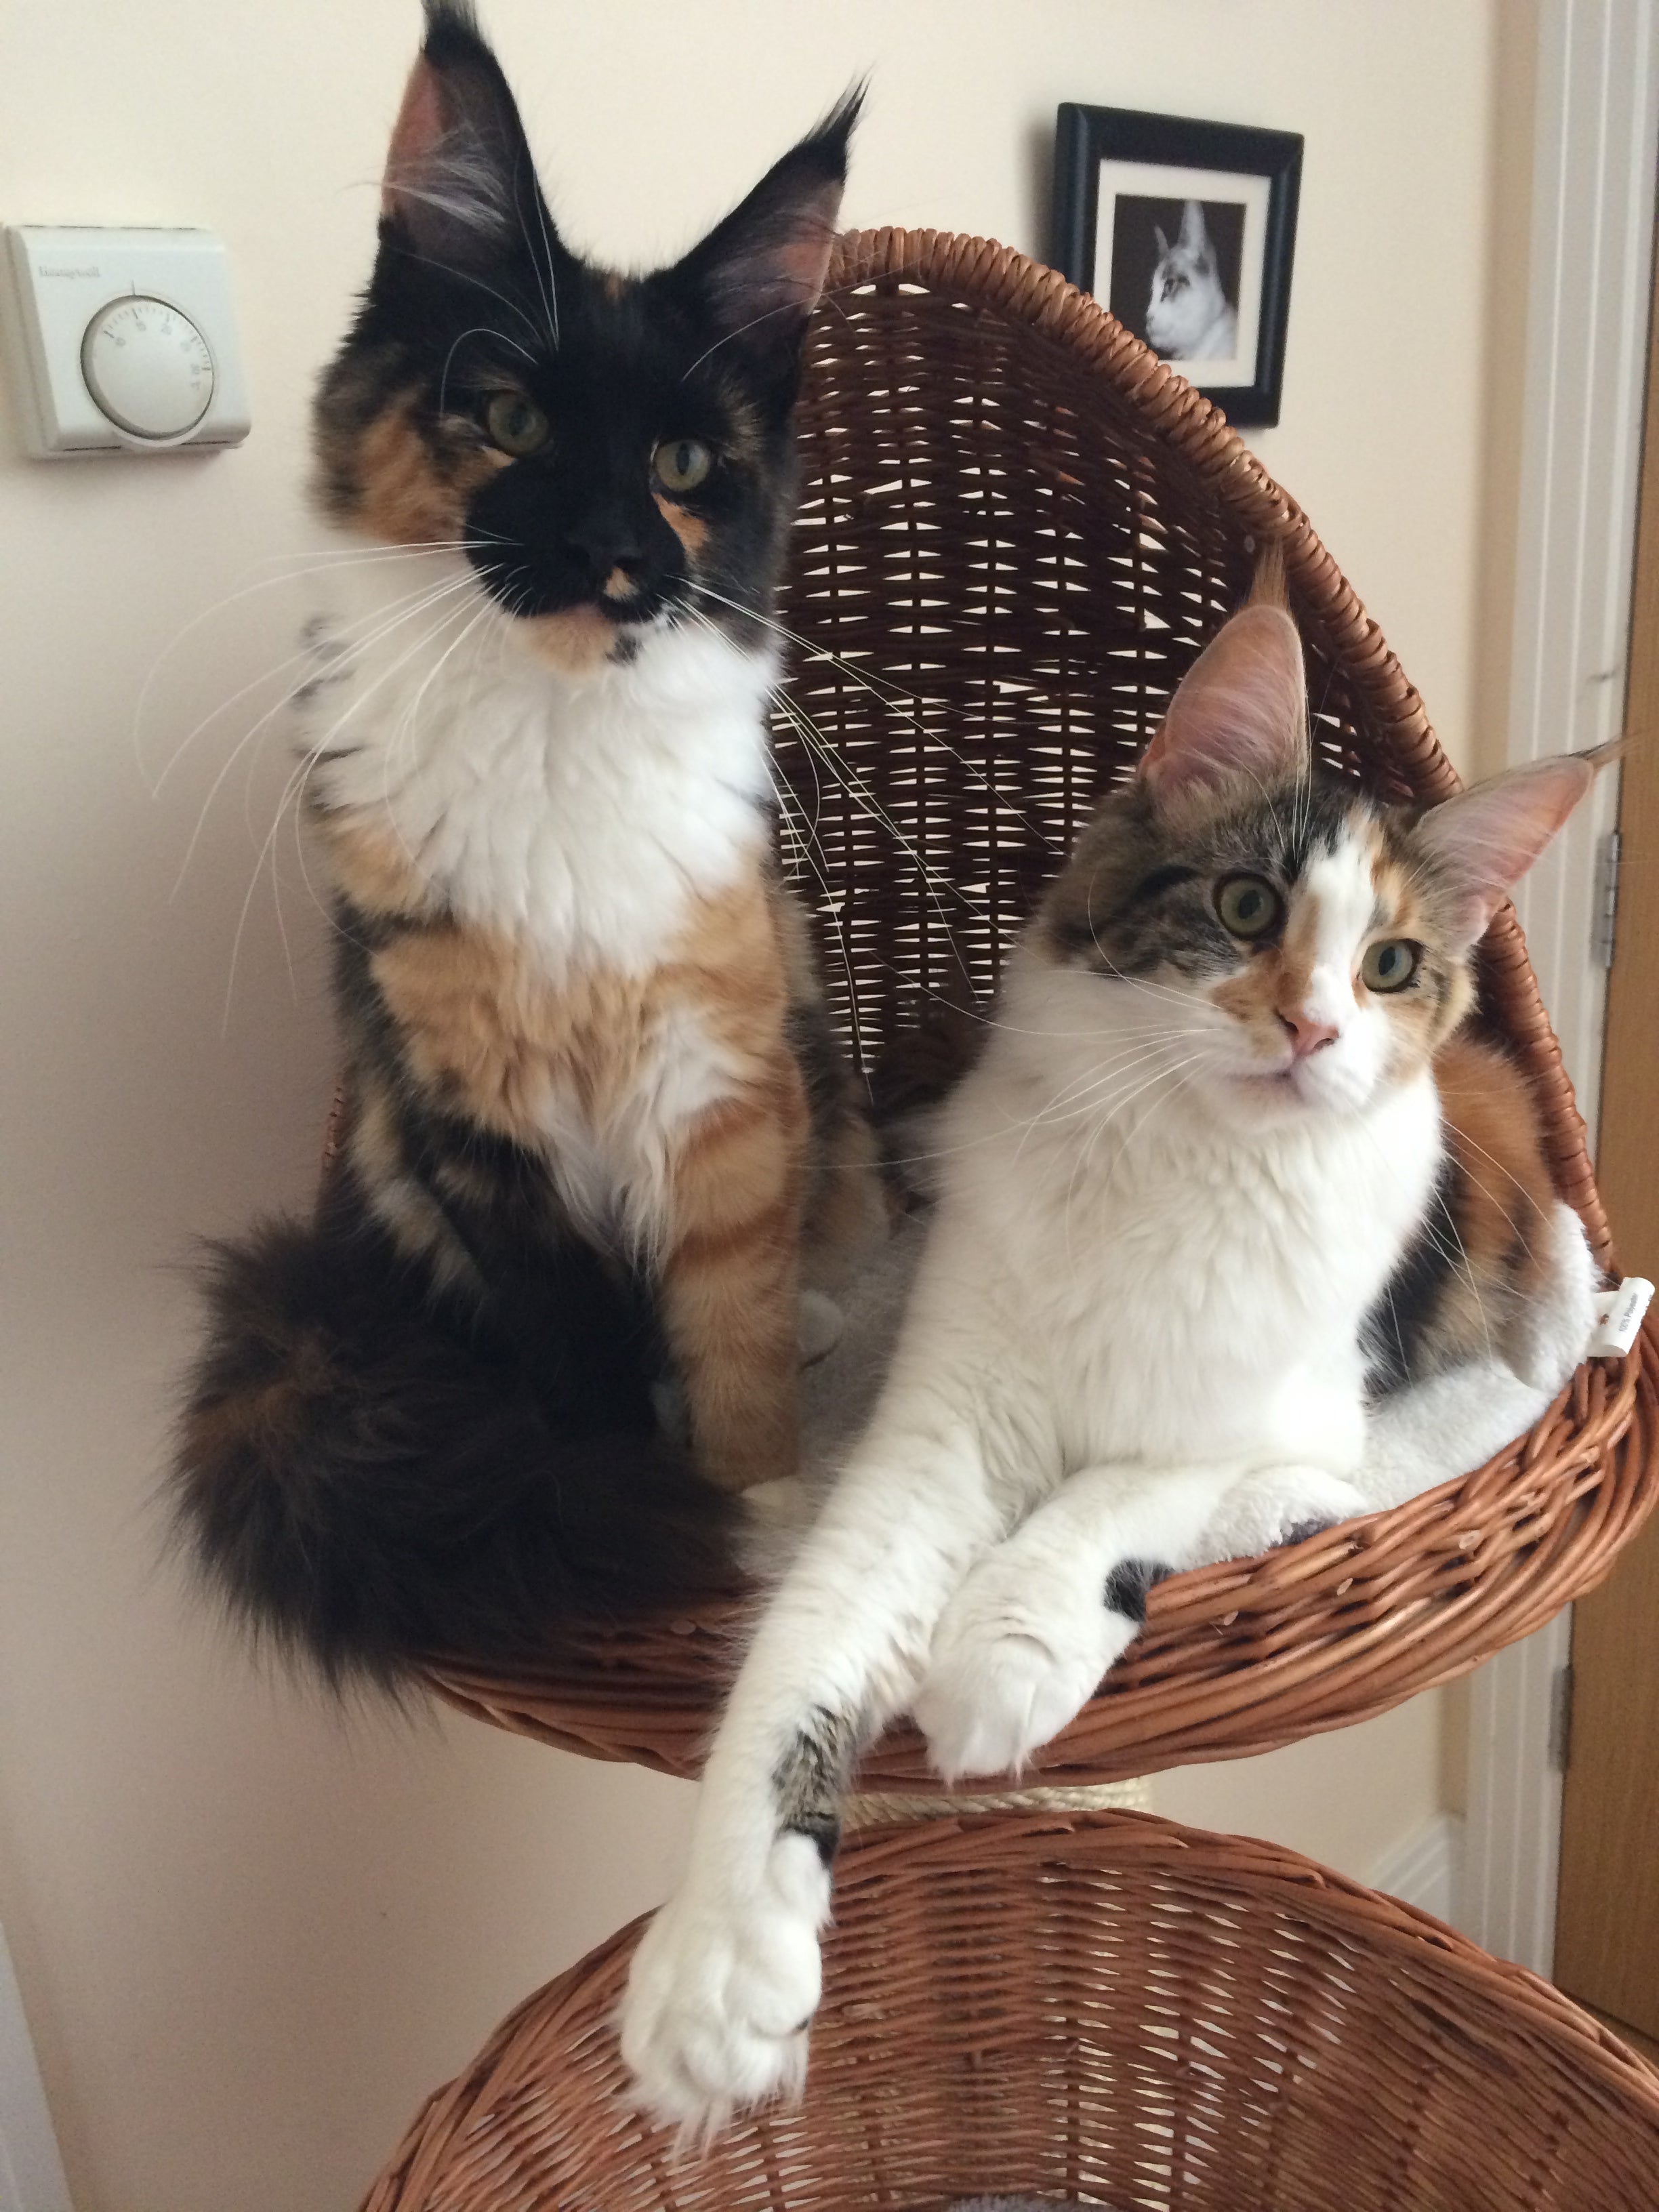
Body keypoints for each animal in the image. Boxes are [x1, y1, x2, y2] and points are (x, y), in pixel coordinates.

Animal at [172, 4, 884, 1689]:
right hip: (397, 1169)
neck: (556, 738)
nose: (616, 555)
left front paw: (755, 1500)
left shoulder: (721, 1080)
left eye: (683, 470)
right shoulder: (481, 1126)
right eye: (509, 422)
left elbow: (734, 1325)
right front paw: (638, 1514)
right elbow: (584, 1361)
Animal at [623, 566, 1610, 2123]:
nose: (1312, 1027)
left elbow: (1115, 1496)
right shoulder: (938, 1426)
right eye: (1245, 903)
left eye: (1389, 965)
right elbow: (803, 1647)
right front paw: (716, 1973)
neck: (1184, 1161)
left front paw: (1000, 1658)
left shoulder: (1288, 1421)